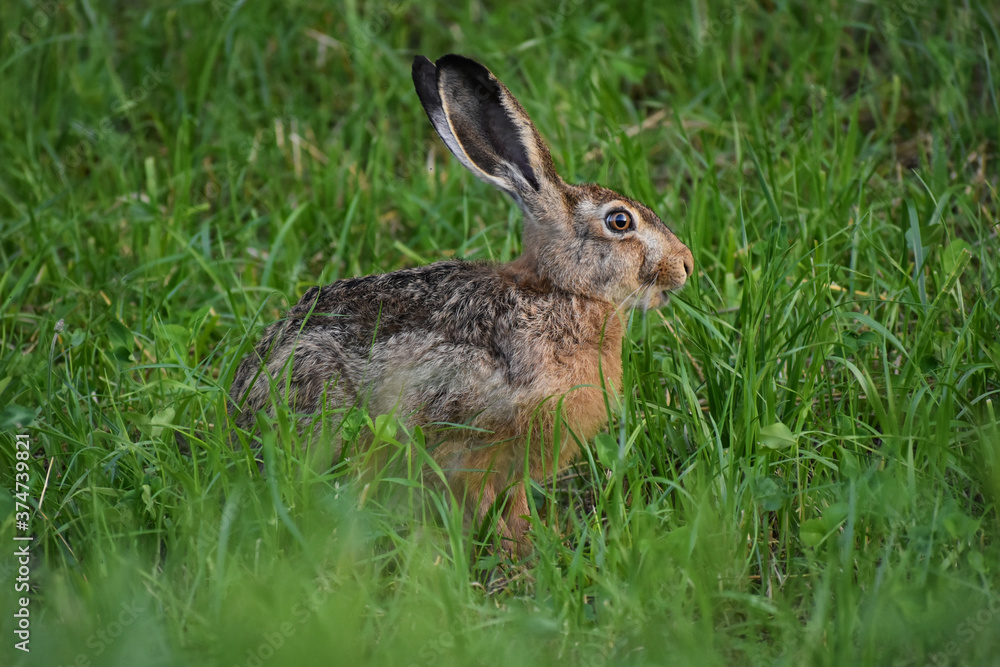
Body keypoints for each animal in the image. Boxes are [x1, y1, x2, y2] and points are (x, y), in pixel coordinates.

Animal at [229, 54, 694, 557]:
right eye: (620, 221)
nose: (686, 264)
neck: (560, 293)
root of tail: (242, 410)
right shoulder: (475, 435)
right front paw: (522, 552)